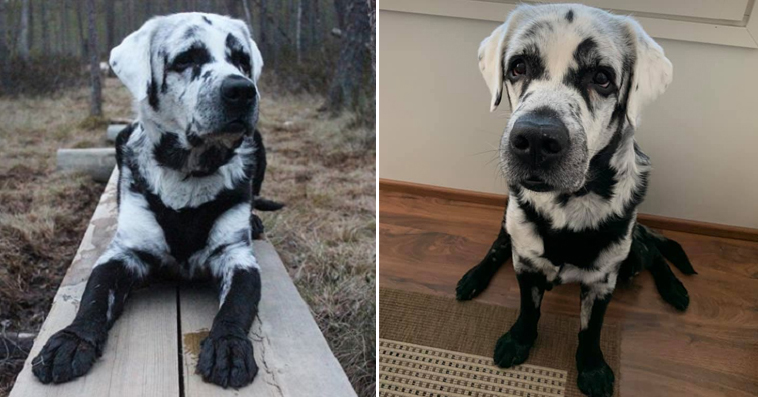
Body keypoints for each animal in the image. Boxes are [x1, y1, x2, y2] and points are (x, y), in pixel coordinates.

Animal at [33, 13, 270, 388]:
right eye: (186, 59)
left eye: (242, 59)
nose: (242, 90)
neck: (188, 174)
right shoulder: (123, 253)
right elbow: (94, 296)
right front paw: (73, 339)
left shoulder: (237, 257)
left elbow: (236, 305)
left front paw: (228, 345)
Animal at [458, 3, 700, 396]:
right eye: (518, 66)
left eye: (602, 77)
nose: (536, 139)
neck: (568, 206)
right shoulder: (525, 260)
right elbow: (528, 309)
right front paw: (518, 339)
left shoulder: (603, 280)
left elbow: (591, 329)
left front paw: (592, 367)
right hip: (509, 222)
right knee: (497, 245)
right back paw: (473, 277)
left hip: (631, 253)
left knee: (652, 252)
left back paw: (673, 288)